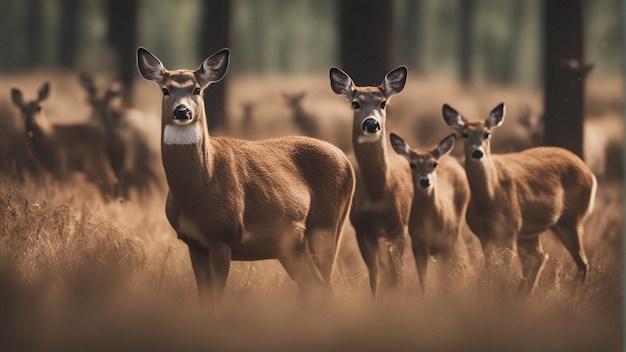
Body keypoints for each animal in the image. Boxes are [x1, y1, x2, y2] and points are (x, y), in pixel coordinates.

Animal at [138, 47, 356, 306]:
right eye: (165, 90)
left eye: (197, 89)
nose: (182, 110)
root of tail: (346, 161)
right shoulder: (194, 242)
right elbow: (204, 299)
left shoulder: (223, 236)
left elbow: (217, 299)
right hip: (292, 246)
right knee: (313, 286)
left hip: (327, 226)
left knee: (327, 285)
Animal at [330, 66, 412, 296]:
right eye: (355, 103)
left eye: (383, 102)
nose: (371, 123)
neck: (379, 193)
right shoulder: (363, 229)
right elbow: (374, 275)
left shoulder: (399, 227)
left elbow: (396, 274)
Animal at [388, 132, 470, 292]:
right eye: (412, 164)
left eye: (434, 164)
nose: (425, 181)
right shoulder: (417, 243)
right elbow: (422, 279)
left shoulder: (447, 242)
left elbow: (446, 276)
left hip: (455, 233)